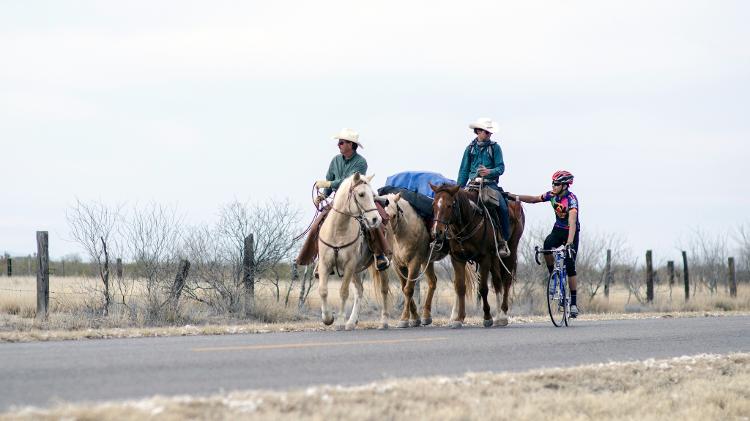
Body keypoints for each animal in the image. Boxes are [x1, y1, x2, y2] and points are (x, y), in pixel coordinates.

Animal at [318, 171, 390, 328]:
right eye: (361, 194)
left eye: (373, 195)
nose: (376, 219)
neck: (338, 231)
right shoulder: (325, 264)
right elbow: (323, 291)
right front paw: (327, 318)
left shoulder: (349, 265)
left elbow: (343, 292)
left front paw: (339, 321)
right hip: (355, 271)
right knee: (359, 291)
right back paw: (351, 322)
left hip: (378, 267)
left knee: (383, 290)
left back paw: (384, 321)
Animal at [432, 184, 524, 328]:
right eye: (434, 204)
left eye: (449, 205)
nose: (437, 232)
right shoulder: (457, 259)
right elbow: (460, 287)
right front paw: (459, 318)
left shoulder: (484, 258)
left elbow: (483, 288)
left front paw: (487, 317)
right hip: (495, 258)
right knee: (497, 281)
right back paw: (499, 316)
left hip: (511, 251)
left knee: (506, 281)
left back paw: (503, 315)